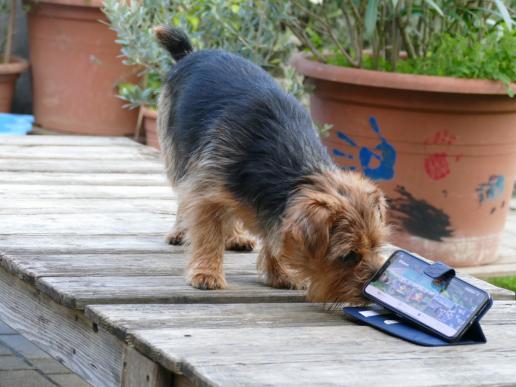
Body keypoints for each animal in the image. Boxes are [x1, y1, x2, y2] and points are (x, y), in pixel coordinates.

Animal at [155, 26, 390, 306]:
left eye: (376, 246)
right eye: (348, 255)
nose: (373, 292)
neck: (291, 165)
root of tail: (191, 54)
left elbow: (273, 235)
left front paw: (280, 273)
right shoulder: (206, 189)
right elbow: (208, 232)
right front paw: (206, 273)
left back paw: (235, 236)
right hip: (178, 153)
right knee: (183, 194)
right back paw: (180, 231)